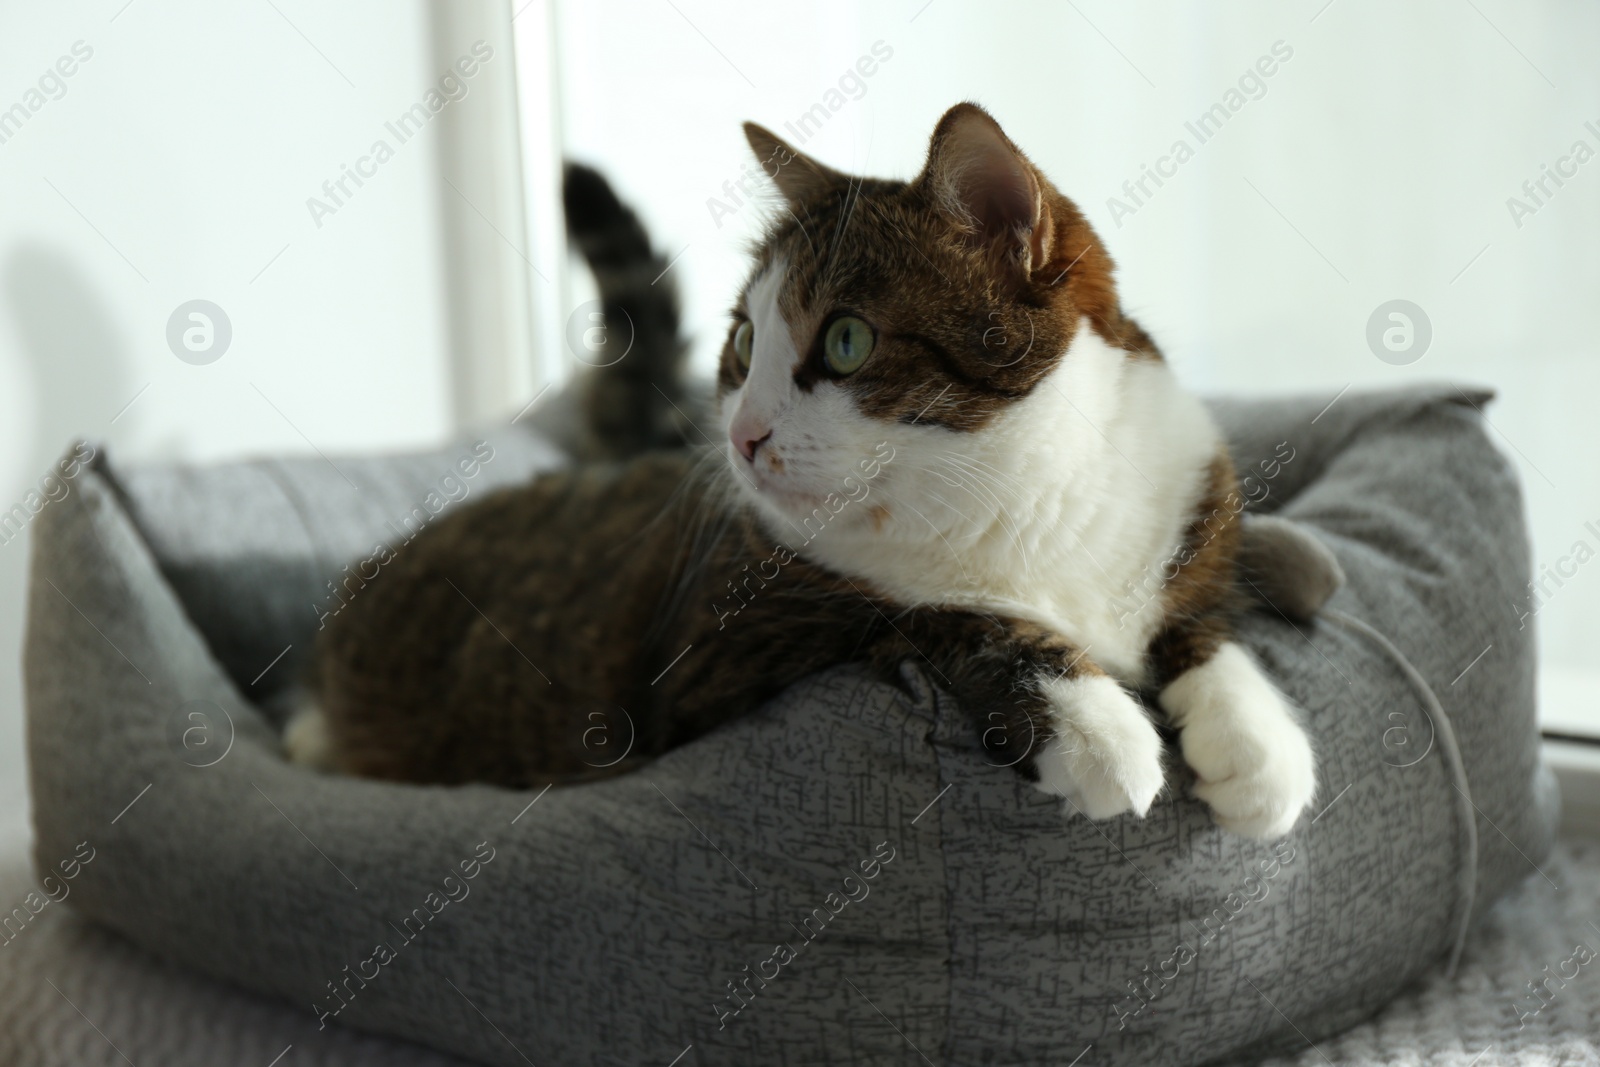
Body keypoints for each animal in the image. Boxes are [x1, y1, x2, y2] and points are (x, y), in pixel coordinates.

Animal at [294, 103, 1318, 838]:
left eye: (848, 340)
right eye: (745, 343)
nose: (743, 436)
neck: (1020, 497)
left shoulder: (1188, 496)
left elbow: (1201, 616)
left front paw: (1255, 740)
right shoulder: (723, 638)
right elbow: (922, 610)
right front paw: (1091, 722)